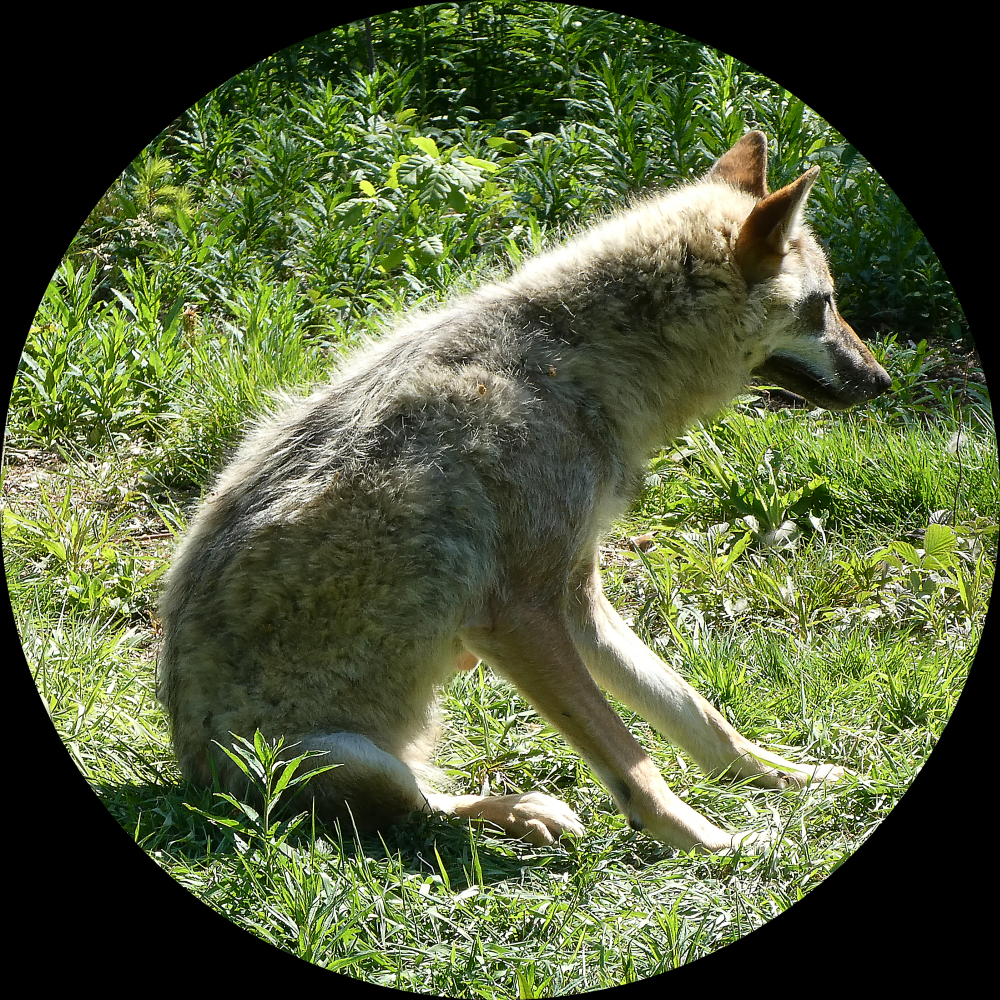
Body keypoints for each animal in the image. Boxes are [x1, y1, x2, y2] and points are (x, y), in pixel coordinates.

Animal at [157, 131, 891, 853]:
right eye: (824, 305)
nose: (883, 381)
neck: (568, 359)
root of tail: (195, 782)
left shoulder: (577, 598)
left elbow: (697, 713)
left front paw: (789, 779)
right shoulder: (517, 616)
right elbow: (633, 762)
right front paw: (715, 842)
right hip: (349, 759)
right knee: (420, 810)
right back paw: (527, 811)